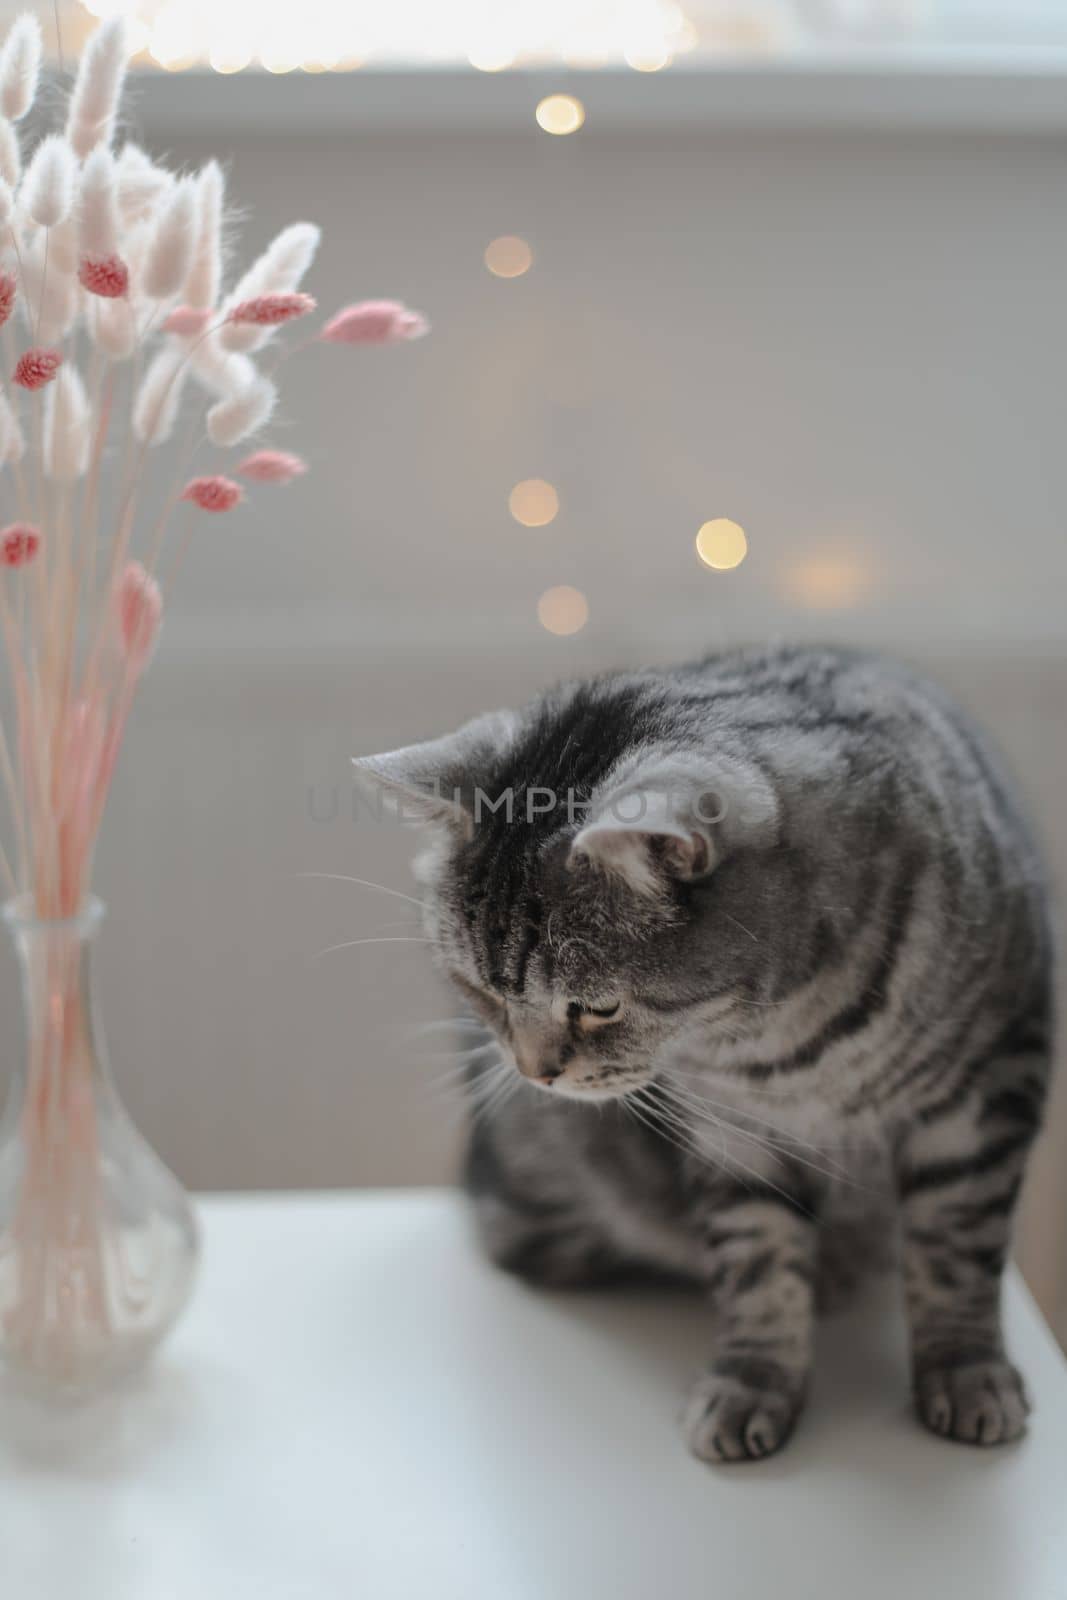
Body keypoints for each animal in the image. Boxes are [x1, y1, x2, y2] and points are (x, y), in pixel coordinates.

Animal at [356, 646, 1049, 1465]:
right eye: (478, 990)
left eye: (596, 1007)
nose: (534, 1072)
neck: (785, 1043)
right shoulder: (733, 1134)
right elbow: (758, 1267)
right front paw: (753, 1380)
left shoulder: (983, 1093)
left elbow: (955, 1252)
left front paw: (966, 1371)